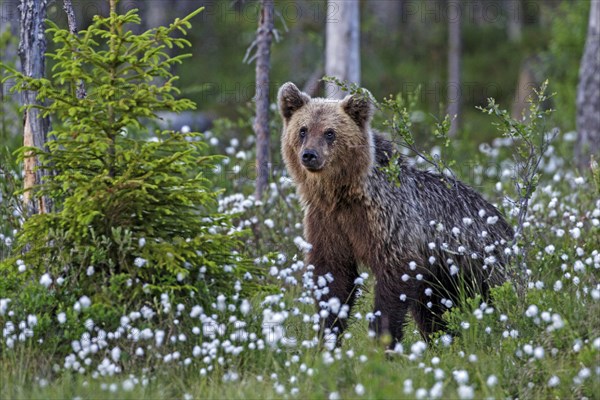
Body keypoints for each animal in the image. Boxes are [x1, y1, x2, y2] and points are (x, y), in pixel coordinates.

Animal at [278, 82, 512, 346]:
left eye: (329, 132)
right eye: (303, 130)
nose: (309, 154)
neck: (342, 195)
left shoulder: (389, 220)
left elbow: (393, 280)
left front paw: (381, 339)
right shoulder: (326, 221)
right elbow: (333, 276)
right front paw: (328, 336)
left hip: (479, 269)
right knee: (434, 313)